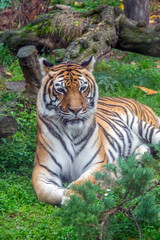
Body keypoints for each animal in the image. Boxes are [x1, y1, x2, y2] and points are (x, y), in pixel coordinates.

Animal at [31, 55, 160, 204]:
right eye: (61, 90)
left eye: (83, 88)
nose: (76, 110)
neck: (72, 132)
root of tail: (141, 103)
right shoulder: (43, 169)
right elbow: (44, 193)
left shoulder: (96, 164)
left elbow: (81, 183)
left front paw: (72, 197)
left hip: (143, 126)